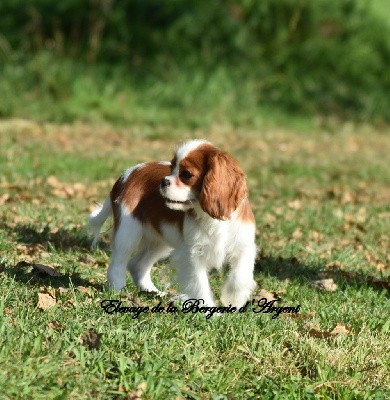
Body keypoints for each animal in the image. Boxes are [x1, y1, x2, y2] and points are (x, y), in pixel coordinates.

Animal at [90, 139, 258, 308]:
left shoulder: (243, 247)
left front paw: (234, 299)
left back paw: (153, 292)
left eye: (186, 174)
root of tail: (125, 175)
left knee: (138, 264)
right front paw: (210, 309)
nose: (163, 181)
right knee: (118, 264)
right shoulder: (192, 255)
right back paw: (118, 290)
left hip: (160, 241)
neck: (211, 218)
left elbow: (240, 277)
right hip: (128, 232)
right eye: (171, 169)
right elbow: (199, 284)